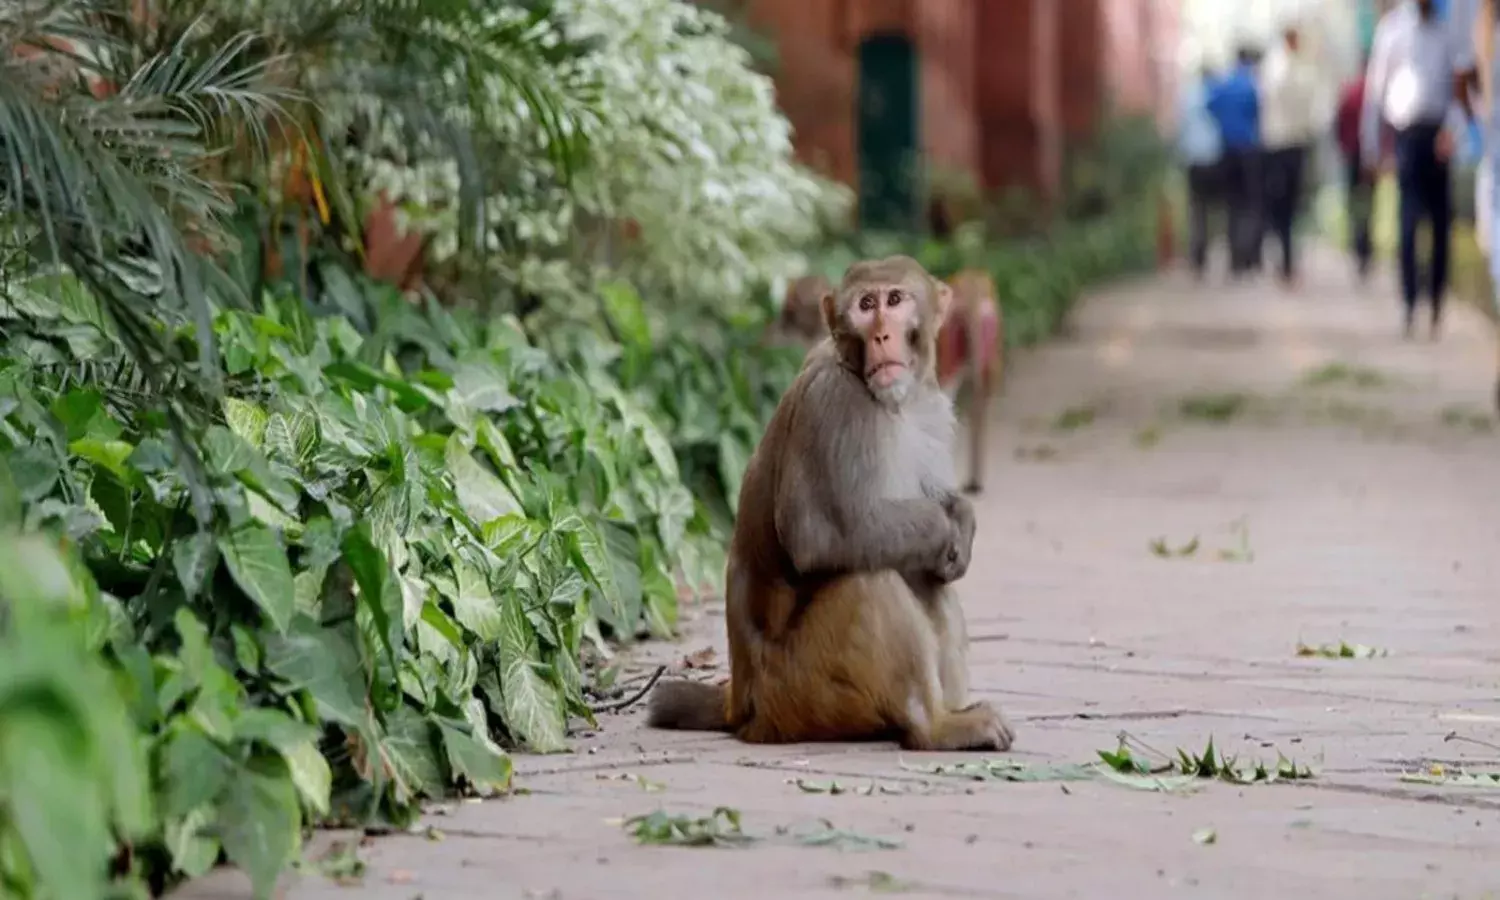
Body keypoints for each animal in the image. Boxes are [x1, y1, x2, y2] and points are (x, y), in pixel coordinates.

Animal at [647, 256, 1014, 752]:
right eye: (865, 305)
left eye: (894, 300)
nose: (881, 336)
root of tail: (740, 702)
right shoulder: (834, 405)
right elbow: (820, 536)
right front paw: (946, 528)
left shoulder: (931, 407)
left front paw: (961, 519)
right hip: (803, 692)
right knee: (869, 578)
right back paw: (933, 727)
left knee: (925, 582)